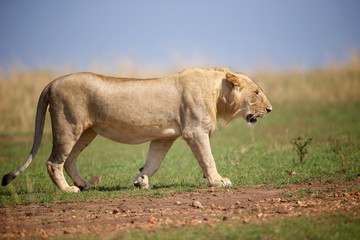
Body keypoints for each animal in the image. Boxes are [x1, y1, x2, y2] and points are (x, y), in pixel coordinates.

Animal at [0, 67, 272, 193]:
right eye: (257, 92)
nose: (270, 110)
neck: (218, 94)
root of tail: (51, 82)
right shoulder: (195, 131)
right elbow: (208, 159)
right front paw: (218, 181)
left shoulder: (165, 137)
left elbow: (153, 161)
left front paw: (141, 181)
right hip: (68, 126)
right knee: (53, 161)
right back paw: (68, 189)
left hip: (88, 131)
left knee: (69, 160)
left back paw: (85, 184)